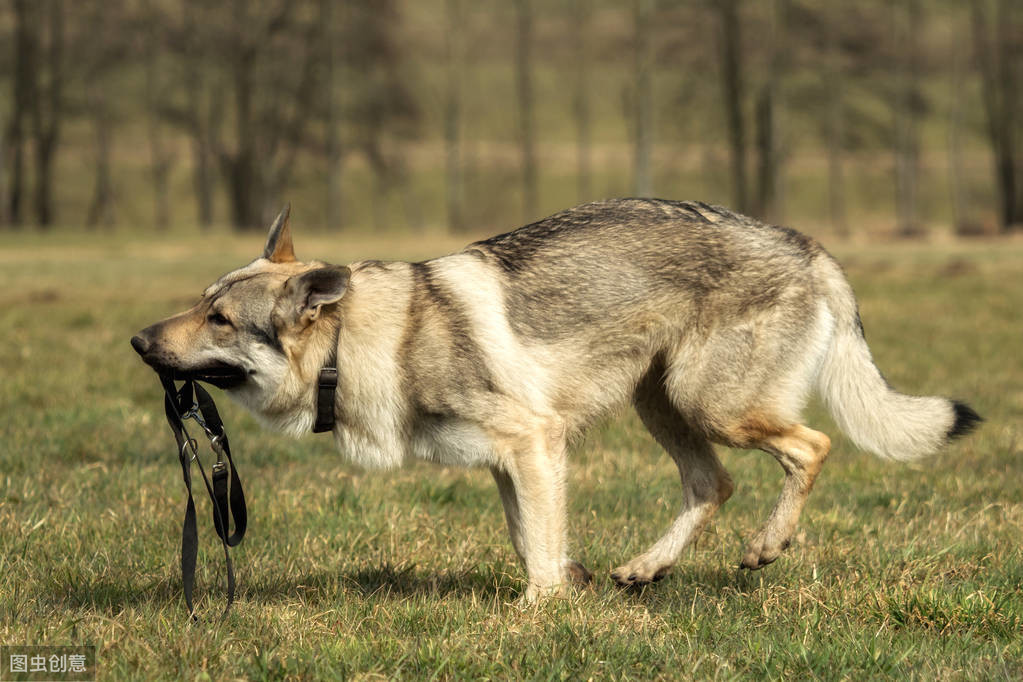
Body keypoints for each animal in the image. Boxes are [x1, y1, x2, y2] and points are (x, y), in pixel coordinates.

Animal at [131, 200, 977, 601]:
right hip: (660, 405)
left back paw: (766, 547)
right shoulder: (510, 464)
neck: (365, 342)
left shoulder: (533, 443)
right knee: (713, 484)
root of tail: (803, 242)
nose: (138, 340)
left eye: (219, 318)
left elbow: (535, 554)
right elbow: (530, 538)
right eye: (200, 301)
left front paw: (535, 617)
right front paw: (571, 585)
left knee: (811, 447)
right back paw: (644, 570)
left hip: (709, 405)